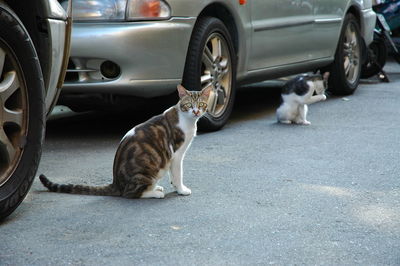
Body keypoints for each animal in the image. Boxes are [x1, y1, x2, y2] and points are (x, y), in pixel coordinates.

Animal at [39, 84, 212, 198]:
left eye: (201, 104)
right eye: (188, 104)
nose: (196, 112)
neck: (187, 120)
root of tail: (116, 183)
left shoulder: (173, 157)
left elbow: (173, 175)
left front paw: (176, 188)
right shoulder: (176, 154)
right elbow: (177, 173)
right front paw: (181, 190)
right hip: (147, 170)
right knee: (130, 193)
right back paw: (154, 193)